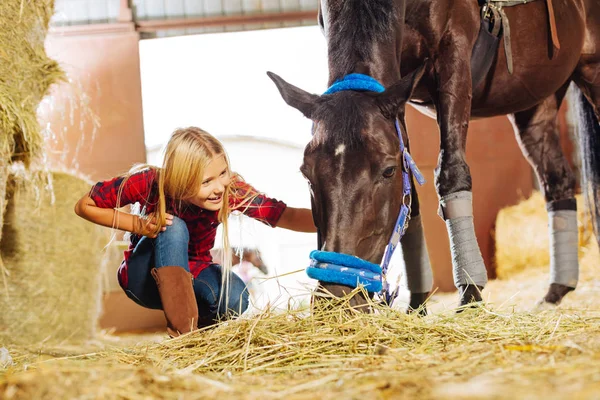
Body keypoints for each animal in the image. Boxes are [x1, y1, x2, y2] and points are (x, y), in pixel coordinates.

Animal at [268, 0, 600, 310]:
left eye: (387, 170)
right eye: (306, 174)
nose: (337, 296)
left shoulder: (453, 57)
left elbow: (451, 173)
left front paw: (470, 295)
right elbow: (411, 198)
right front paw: (417, 304)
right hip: (535, 101)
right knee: (556, 179)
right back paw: (556, 291)